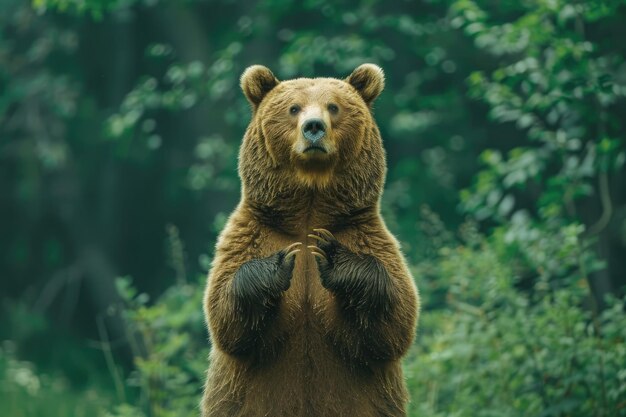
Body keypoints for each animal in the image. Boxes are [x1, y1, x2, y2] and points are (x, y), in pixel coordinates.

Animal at [202, 62, 420, 416]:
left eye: (333, 106)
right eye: (294, 108)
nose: (313, 127)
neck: (309, 209)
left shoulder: (366, 234)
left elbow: (395, 322)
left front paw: (333, 256)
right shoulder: (252, 232)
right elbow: (226, 317)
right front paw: (280, 262)